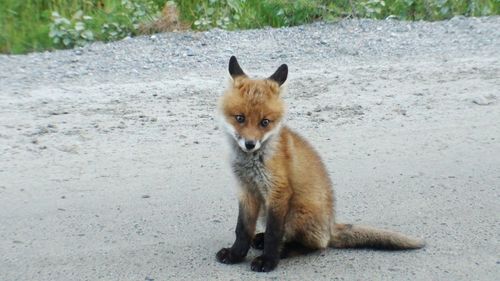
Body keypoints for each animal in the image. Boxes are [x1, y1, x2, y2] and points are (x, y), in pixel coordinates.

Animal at [216, 55, 426, 270]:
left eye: (265, 122)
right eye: (240, 118)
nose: (250, 144)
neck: (253, 162)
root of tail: (330, 225)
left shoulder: (278, 191)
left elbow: (274, 234)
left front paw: (268, 260)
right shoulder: (246, 190)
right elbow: (242, 229)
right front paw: (235, 254)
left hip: (296, 213)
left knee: (314, 245)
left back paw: (283, 250)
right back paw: (260, 239)